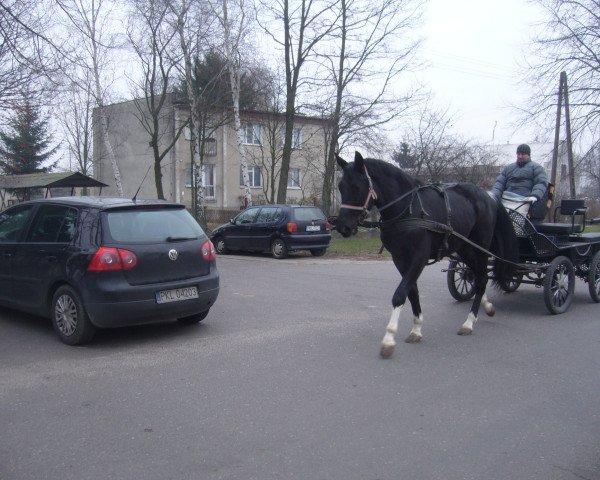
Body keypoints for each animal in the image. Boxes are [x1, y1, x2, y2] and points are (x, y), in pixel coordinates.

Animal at [336, 152, 516, 358]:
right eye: (340, 187)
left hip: (479, 249)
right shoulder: (400, 260)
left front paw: (389, 338)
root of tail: (489, 196)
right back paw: (487, 307)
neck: (407, 209)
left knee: (481, 278)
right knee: (479, 278)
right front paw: (416, 329)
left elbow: (400, 294)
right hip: (465, 249)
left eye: (357, 187)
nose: (343, 227)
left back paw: (469, 322)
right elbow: (412, 292)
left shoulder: (419, 258)